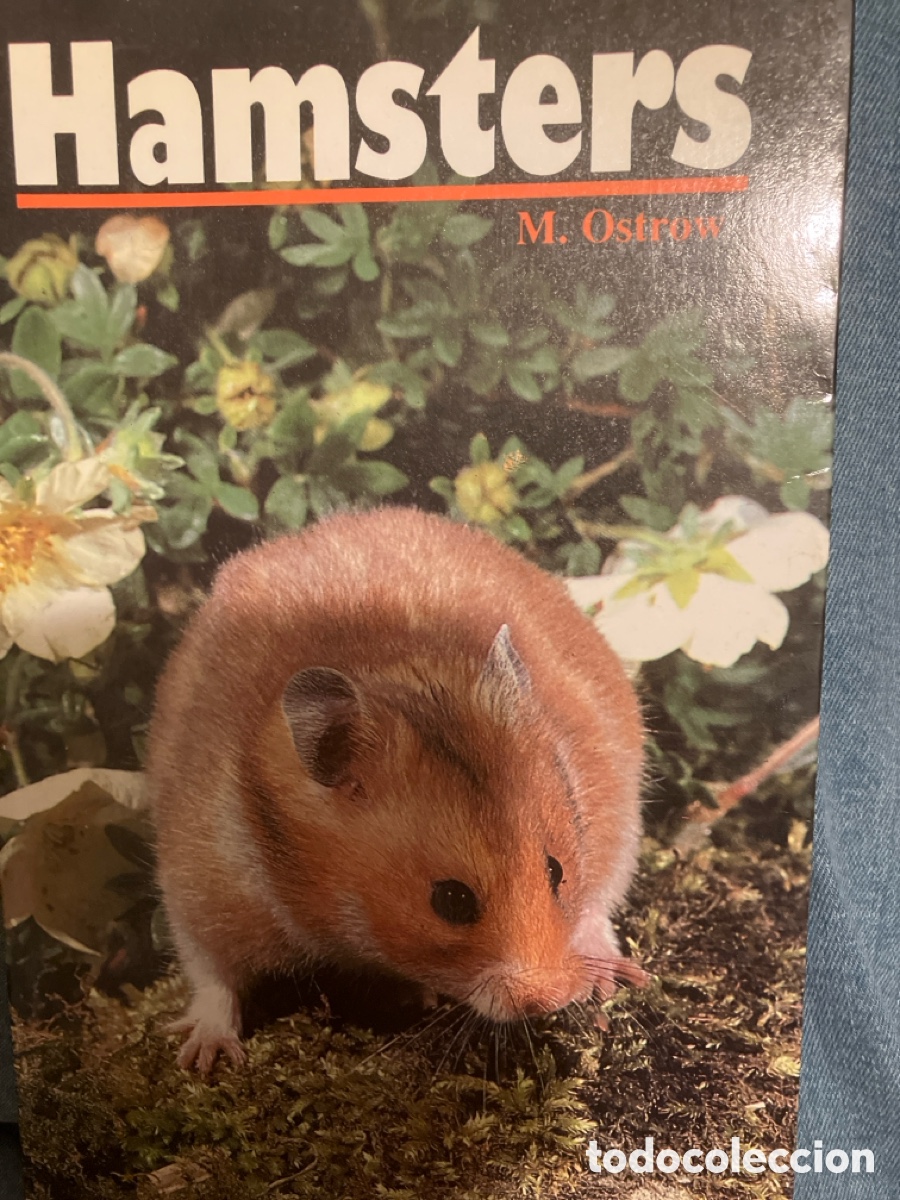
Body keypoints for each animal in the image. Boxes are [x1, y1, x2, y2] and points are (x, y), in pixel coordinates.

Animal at [147, 507, 646, 1073]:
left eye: (557, 870)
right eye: (451, 901)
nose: (551, 999)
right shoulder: (204, 880)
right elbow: (212, 973)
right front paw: (203, 1060)